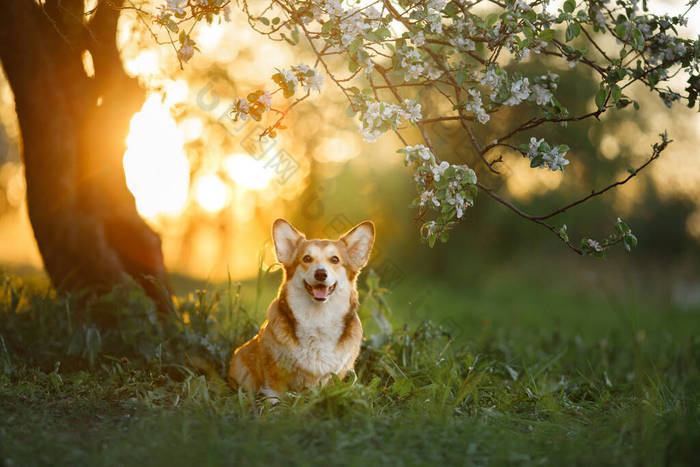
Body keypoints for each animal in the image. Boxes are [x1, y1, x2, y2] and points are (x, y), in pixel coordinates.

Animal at [227, 218, 374, 396]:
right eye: (307, 258)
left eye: (335, 259)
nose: (320, 274)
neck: (318, 317)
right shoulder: (273, 371)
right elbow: (275, 394)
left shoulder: (337, 374)